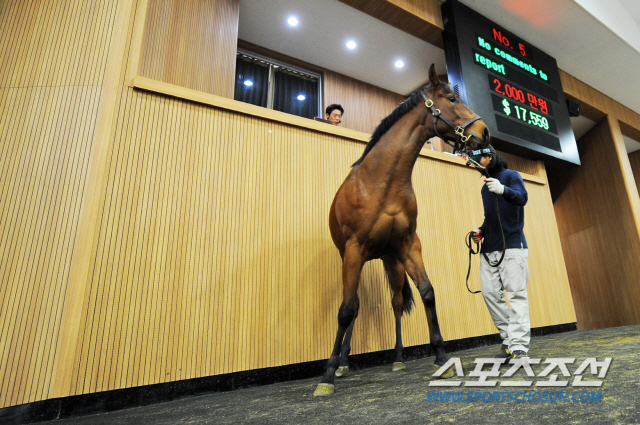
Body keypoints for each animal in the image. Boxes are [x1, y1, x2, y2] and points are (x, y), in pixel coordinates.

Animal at [313, 64, 491, 396]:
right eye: (451, 98)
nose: (484, 132)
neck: (381, 182)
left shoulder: (409, 245)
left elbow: (427, 292)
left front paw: (441, 356)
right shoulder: (354, 249)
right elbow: (345, 310)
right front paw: (327, 375)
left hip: (391, 259)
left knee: (396, 303)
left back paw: (397, 358)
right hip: (353, 259)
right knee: (354, 305)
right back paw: (342, 364)